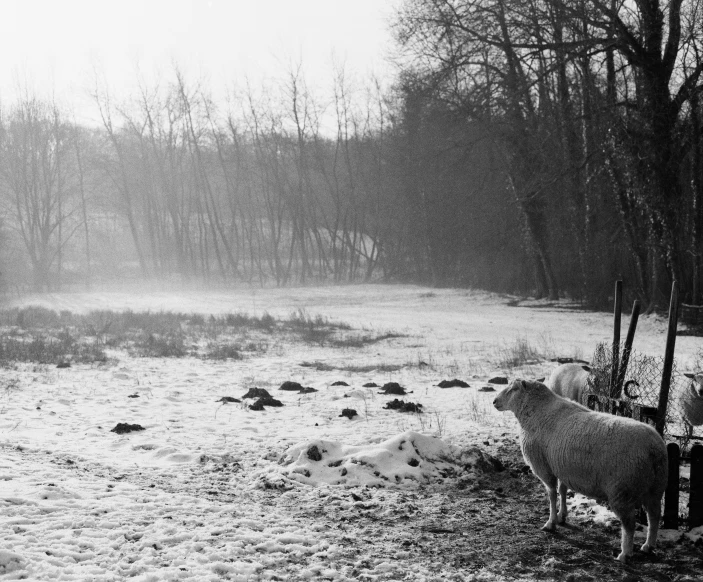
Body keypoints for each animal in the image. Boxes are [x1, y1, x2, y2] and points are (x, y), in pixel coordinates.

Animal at [492, 378, 668, 564]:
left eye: (514, 389)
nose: (494, 401)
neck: (536, 410)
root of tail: (654, 449)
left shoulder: (544, 467)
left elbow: (552, 494)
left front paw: (551, 523)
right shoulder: (562, 467)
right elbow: (562, 490)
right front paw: (562, 516)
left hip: (622, 490)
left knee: (630, 524)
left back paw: (624, 554)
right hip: (655, 488)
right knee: (654, 516)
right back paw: (649, 546)